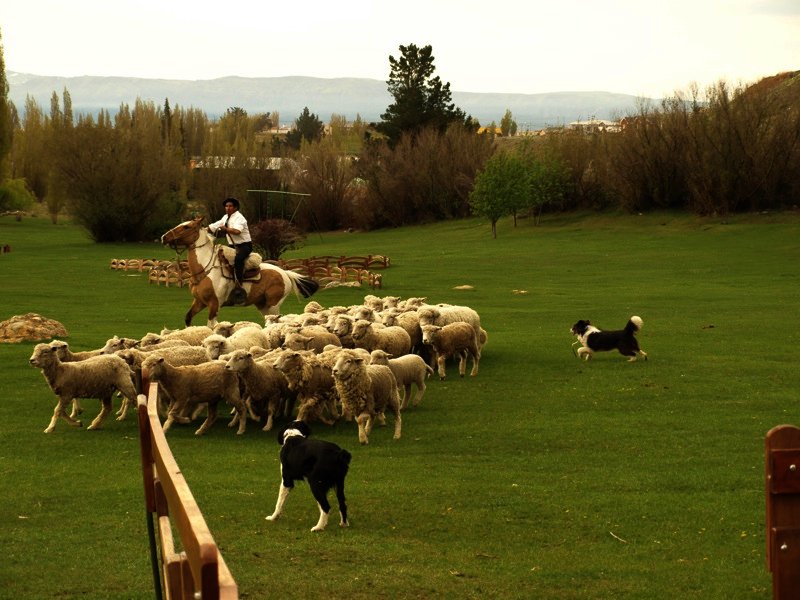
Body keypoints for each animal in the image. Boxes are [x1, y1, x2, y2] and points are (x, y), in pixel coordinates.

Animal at [160, 217, 318, 328]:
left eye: (186, 226)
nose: (164, 237)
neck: (205, 270)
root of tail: (285, 273)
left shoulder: (214, 304)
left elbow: (211, 326)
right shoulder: (199, 302)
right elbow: (188, 318)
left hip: (273, 305)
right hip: (262, 305)